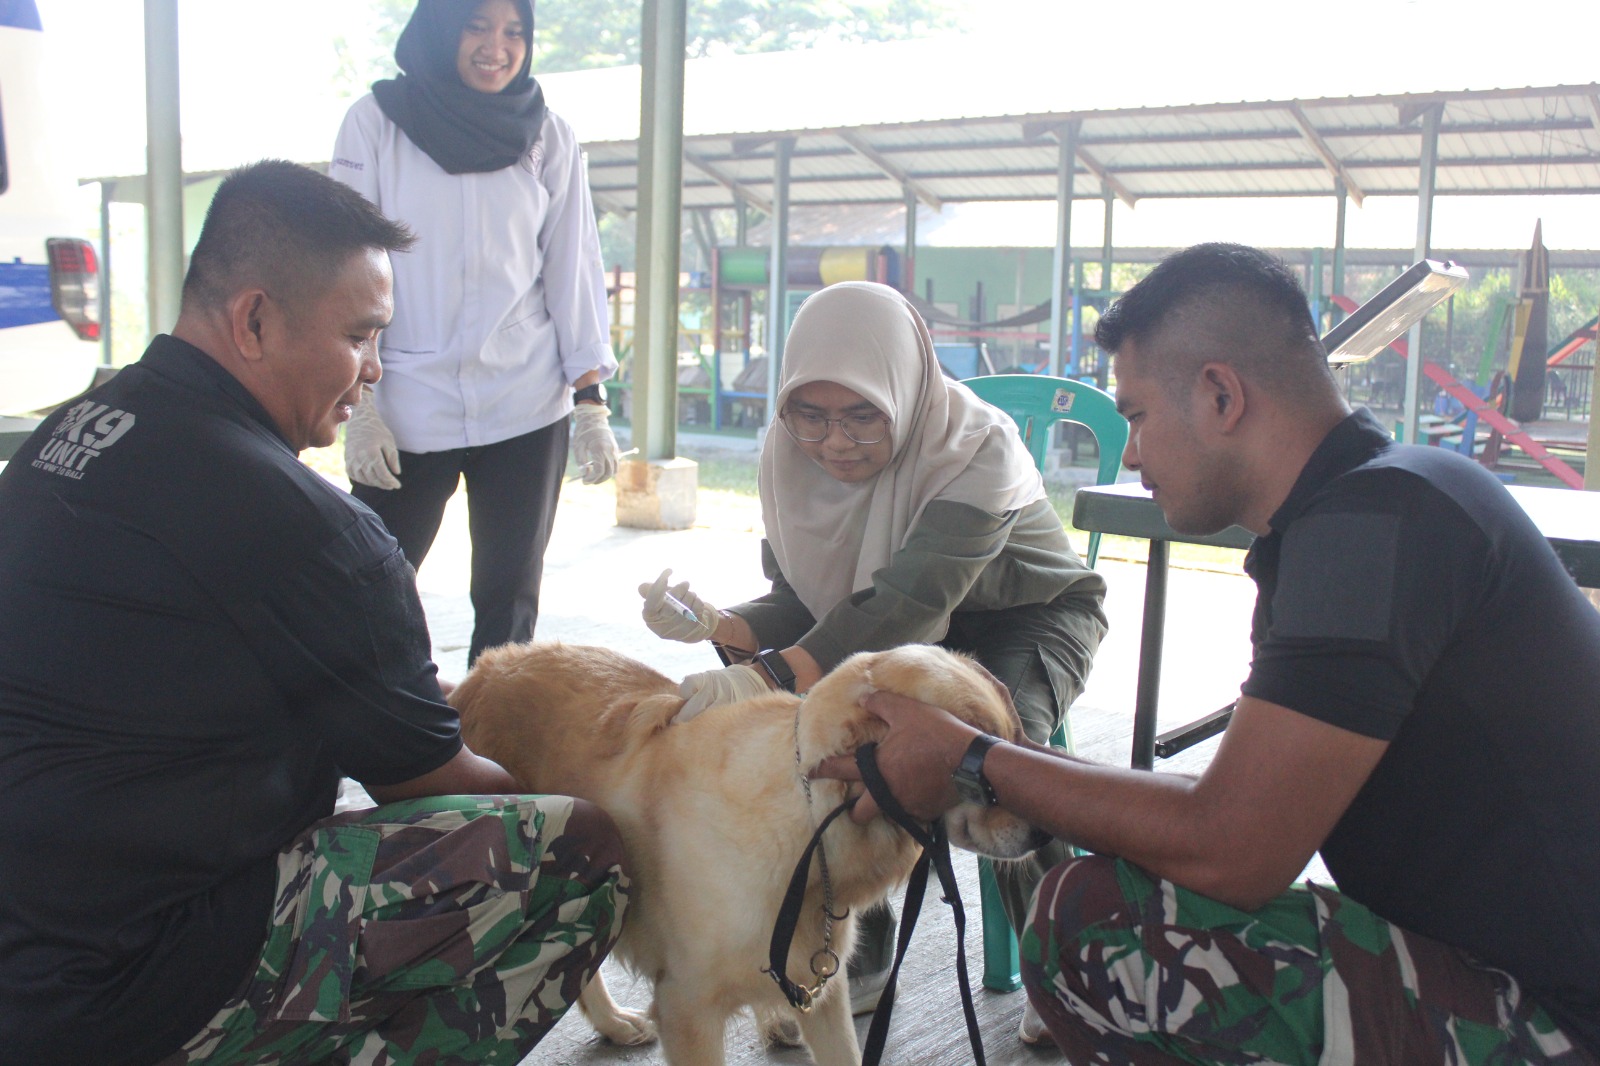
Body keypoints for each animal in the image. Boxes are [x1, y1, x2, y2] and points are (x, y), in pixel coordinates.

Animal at [451, 641, 1045, 1066]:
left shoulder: (823, 991)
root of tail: (479, 673)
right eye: (971, 754)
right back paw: (616, 1022)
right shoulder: (687, 1007)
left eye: (1010, 734)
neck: (808, 828)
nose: (1044, 834)